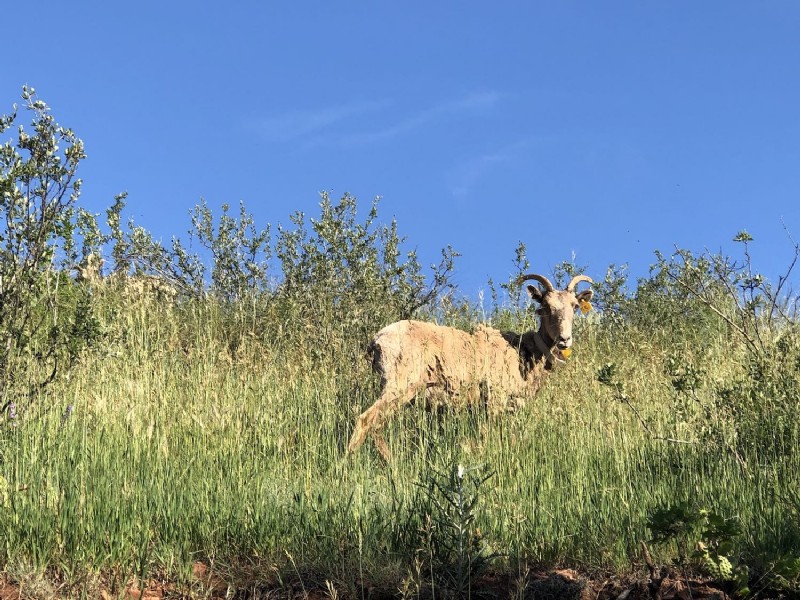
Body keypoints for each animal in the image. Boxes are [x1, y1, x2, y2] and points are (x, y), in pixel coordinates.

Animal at [350, 274, 592, 452]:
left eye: (574, 307)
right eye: (545, 307)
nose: (564, 339)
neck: (525, 352)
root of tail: (377, 341)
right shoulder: (494, 400)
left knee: (376, 427)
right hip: (398, 384)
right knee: (366, 421)